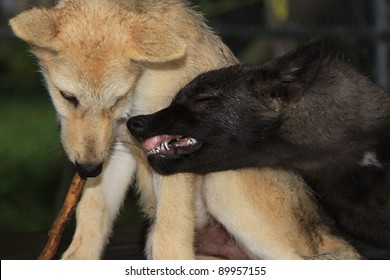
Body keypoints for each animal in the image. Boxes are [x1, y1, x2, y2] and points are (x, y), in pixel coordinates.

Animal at [10, 0, 360, 260]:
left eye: (117, 99)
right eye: (67, 96)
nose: (87, 170)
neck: (143, 83)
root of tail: (320, 231)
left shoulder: (170, 154)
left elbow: (170, 236)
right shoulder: (117, 152)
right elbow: (92, 219)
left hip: (224, 183)